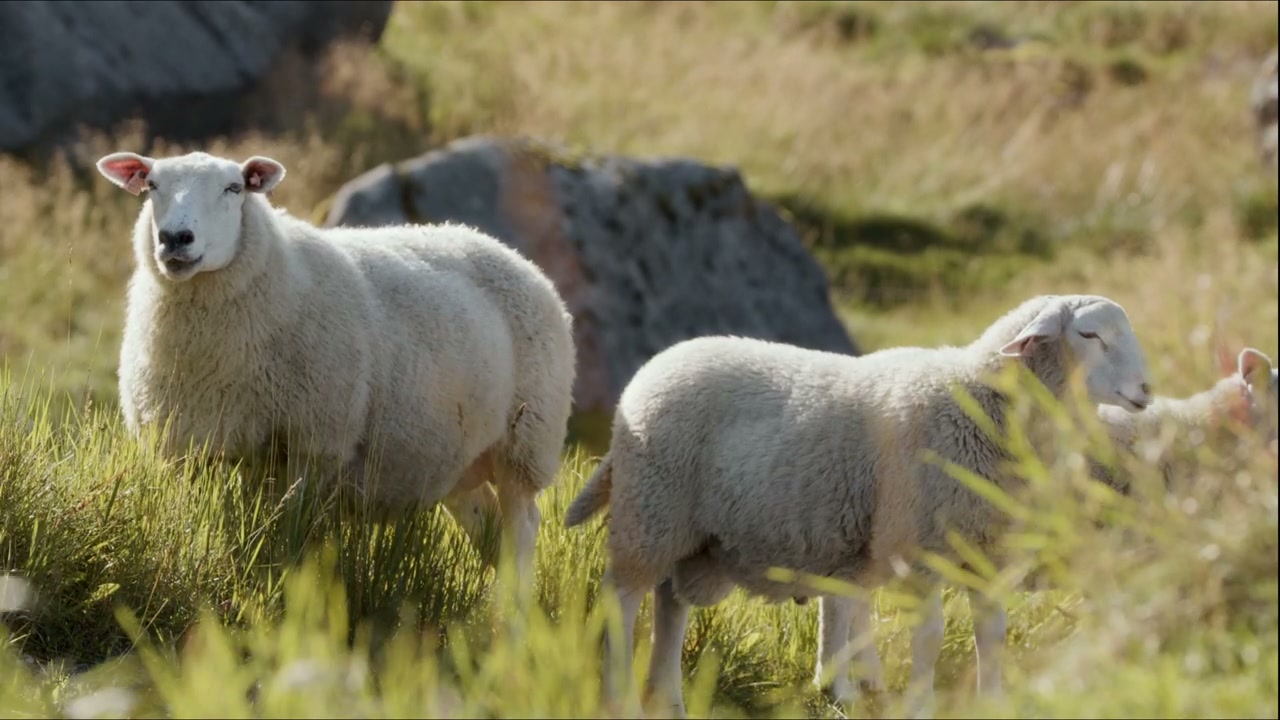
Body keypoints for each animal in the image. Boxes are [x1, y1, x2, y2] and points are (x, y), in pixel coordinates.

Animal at [95, 150, 576, 589]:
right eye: (152, 185)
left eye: (233, 188)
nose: (176, 238)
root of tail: (506, 251)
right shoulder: (186, 447)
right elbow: (209, 526)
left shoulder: (314, 443)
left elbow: (284, 536)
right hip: (460, 460)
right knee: (490, 532)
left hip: (525, 441)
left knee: (522, 528)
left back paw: (515, 612)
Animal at [563, 294, 1153, 718]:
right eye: (1090, 334)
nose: (1147, 389)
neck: (977, 402)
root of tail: (651, 371)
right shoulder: (918, 547)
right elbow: (928, 635)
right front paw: (919, 706)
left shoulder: (984, 552)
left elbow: (992, 634)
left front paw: (993, 702)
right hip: (650, 510)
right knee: (622, 599)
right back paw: (621, 696)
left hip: (688, 531)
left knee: (669, 603)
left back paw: (667, 696)